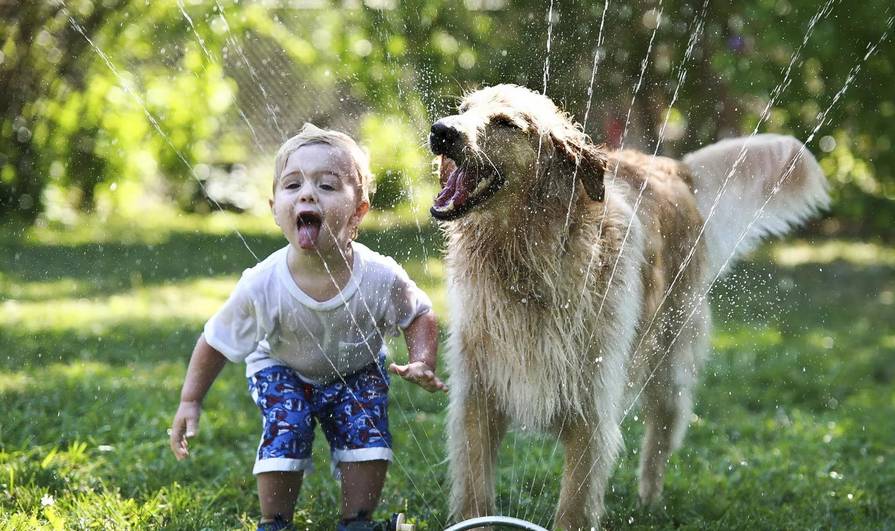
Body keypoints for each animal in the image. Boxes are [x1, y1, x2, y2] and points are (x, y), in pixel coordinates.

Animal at [430, 85, 828, 528]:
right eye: (464, 109)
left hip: (669, 359)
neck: (527, 260)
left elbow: (573, 507)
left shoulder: (591, 407)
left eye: (505, 123)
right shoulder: (476, 396)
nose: (440, 130)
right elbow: (475, 493)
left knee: (663, 433)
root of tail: (673, 167)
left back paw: (649, 501)